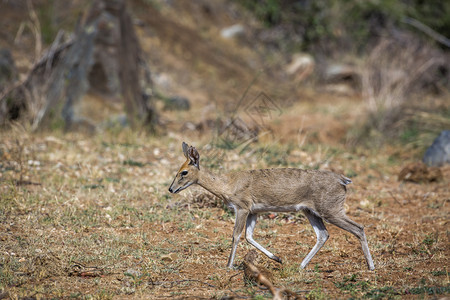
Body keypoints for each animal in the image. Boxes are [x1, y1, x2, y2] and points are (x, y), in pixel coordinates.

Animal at [169, 142, 376, 270]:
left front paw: (229, 265)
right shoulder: (254, 212)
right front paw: (278, 258)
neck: (227, 184)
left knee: (359, 228)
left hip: (331, 211)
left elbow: (236, 235)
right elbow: (249, 236)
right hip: (311, 212)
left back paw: (371, 267)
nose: (171, 189)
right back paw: (300, 265)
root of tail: (343, 180)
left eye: (184, 172)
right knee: (323, 234)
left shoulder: (242, 208)